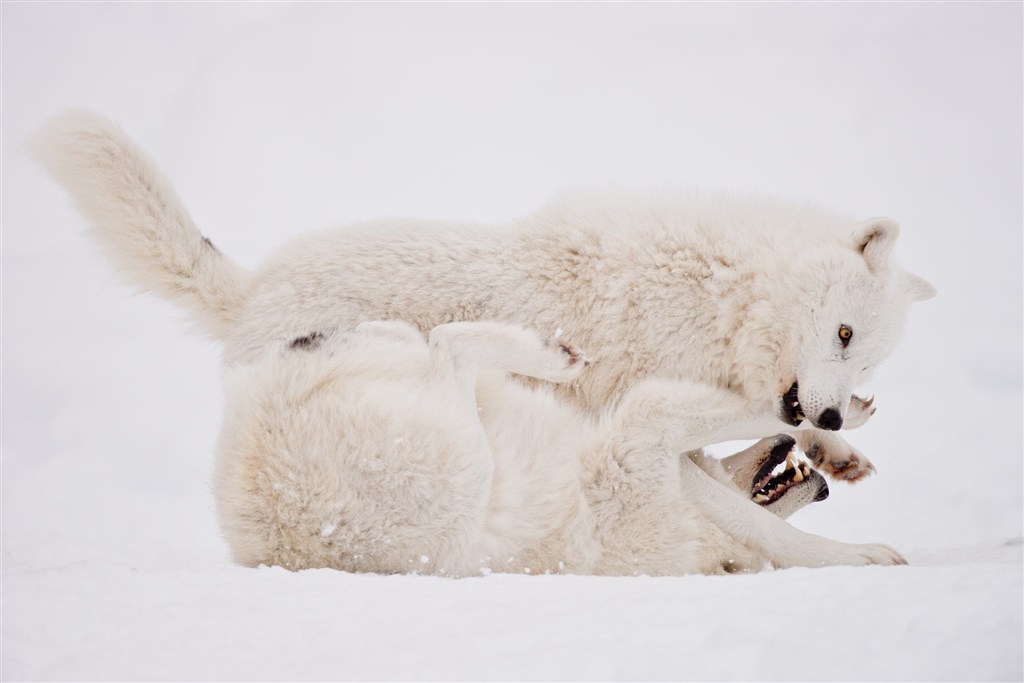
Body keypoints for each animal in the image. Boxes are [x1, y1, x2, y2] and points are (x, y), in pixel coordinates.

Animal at [32, 111, 933, 481]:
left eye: (866, 358)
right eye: (844, 333)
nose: (832, 409)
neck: (725, 296)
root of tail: (254, 286)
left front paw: (837, 448)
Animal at [216, 317, 897, 573]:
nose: (822, 487)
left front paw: (831, 442)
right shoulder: (643, 433)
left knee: (422, 338)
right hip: (463, 467)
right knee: (448, 347)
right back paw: (555, 355)